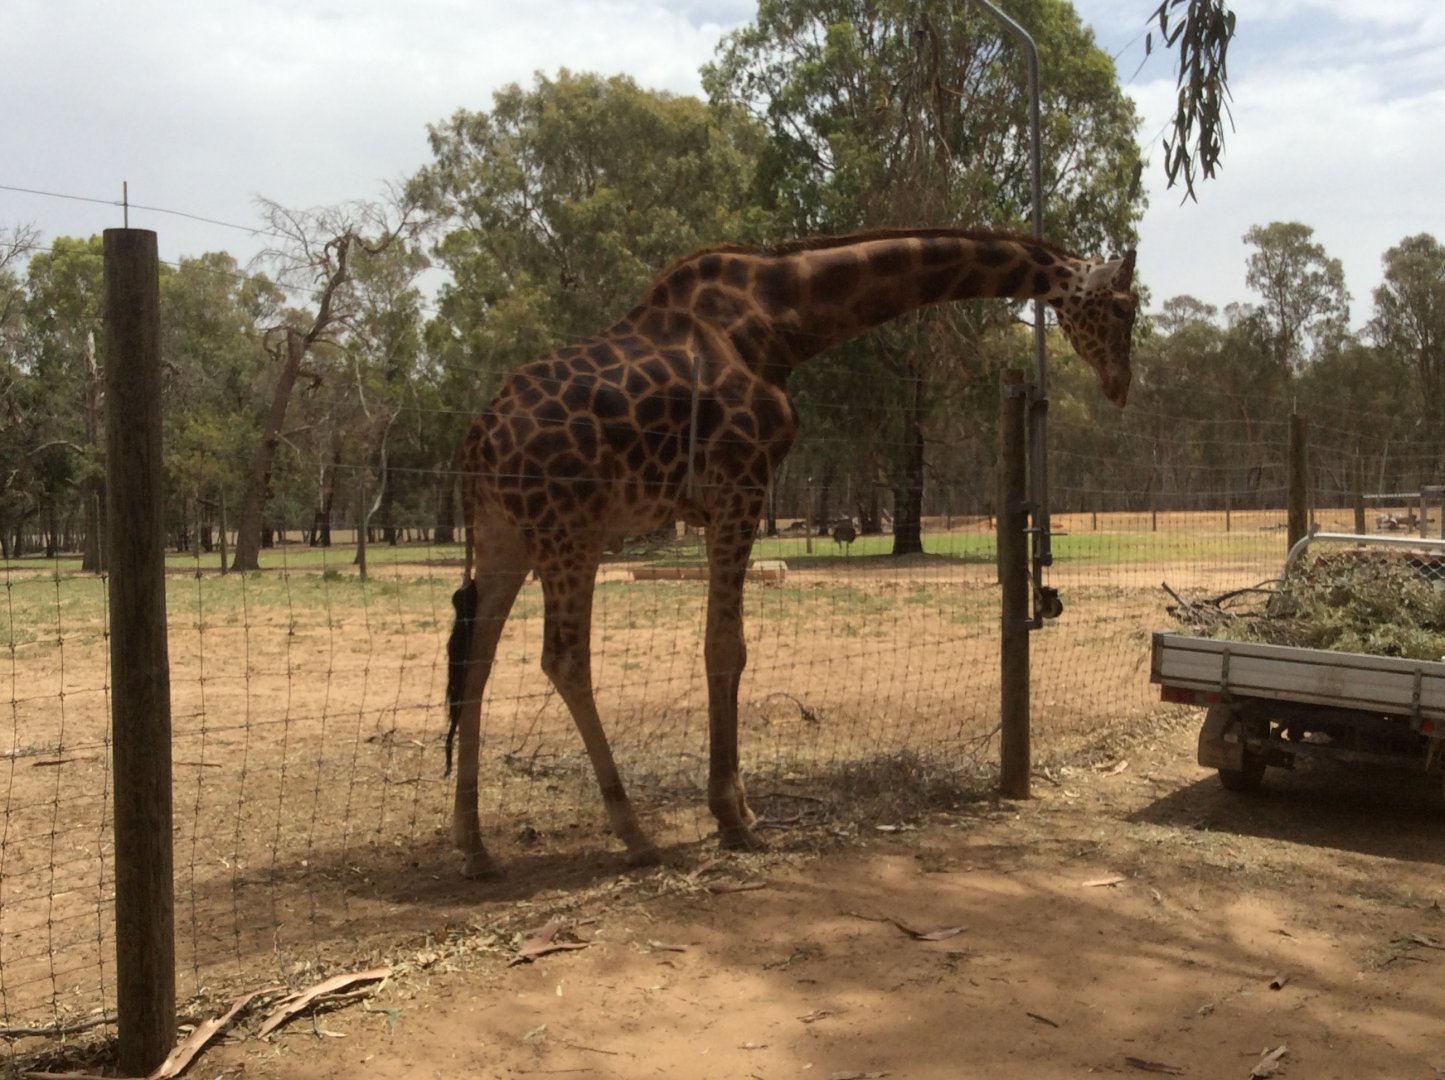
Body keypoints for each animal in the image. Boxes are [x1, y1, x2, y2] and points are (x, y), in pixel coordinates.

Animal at [446, 227, 1137, 878]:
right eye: (1124, 307)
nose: (1120, 386)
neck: (780, 324)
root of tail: (477, 439)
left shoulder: (729, 497)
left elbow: (728, 648)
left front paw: (740, 811)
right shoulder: (739, 487)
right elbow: (726, 647)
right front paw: (734, 819)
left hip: (507, 536)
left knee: (474, 660)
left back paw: (475, 847)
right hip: (571, 531)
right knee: (563, 659)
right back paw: (635, 835)